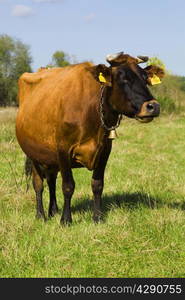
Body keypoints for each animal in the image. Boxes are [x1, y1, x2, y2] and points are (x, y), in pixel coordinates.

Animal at [15, 52, 164, 225]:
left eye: (145, 78)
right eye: (123, 78)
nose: (153, 106)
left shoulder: (105, 151)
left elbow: (97, 185)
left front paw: (97, 217)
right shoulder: (63, 150)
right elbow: (68, 186)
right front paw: (66, 220)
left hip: (50, 157)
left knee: (51, 181)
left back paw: (53, 211)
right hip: (33, 155)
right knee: (38, 184)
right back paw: (41, 215)